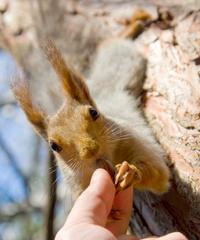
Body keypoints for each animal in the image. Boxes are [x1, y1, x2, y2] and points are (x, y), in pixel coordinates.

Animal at [11, 9, 170, 201]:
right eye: (53, 146)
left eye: (93, 113)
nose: (91, 150)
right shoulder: (77, 184)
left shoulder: (134, 138)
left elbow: (158, 173)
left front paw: (131, 172)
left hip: (124, 63)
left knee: (112, 43)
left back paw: (136, 22)